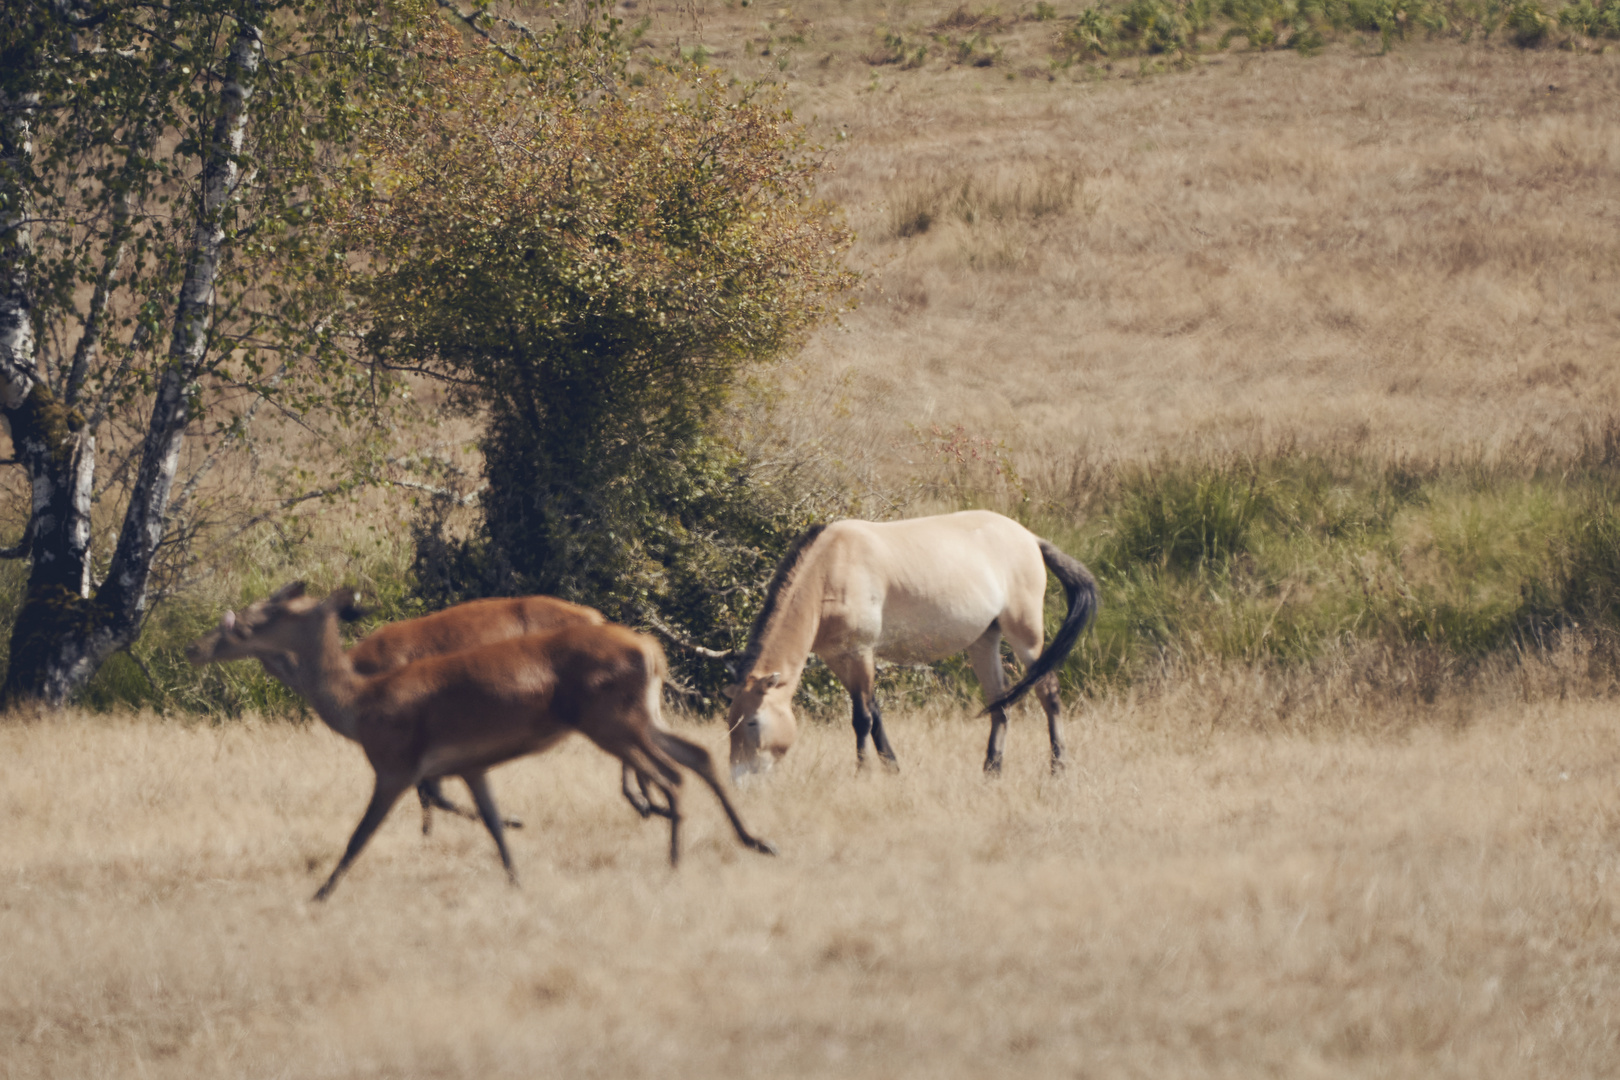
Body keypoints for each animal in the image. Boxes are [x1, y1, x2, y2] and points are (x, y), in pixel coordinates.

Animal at [183, 586, 777, 900]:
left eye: (261, 617)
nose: (196, 646)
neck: (359, 702)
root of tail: (652, 650)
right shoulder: (469, 765)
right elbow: (487, 821)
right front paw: (516, 876)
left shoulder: (395, 764)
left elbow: (358, 836)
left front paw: (319, 896)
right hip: (636, 718)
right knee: (698, 755)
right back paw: (754, 841)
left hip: (609, 720)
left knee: (671, 775)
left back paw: (673, 852)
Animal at [725, 508, 1095, 773]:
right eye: (730, 723)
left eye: (754, 721)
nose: (739, 778)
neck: (830, 571)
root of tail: (1030, 538)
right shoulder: (839, 658)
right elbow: (874, 713)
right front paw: (892, 769)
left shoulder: (860, 652)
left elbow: (862, 717)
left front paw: (863, 773)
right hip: (983, 641)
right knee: (999, 704)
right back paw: (991, 770)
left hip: (1025, 632)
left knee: (1048, 692)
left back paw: (1058, 767)